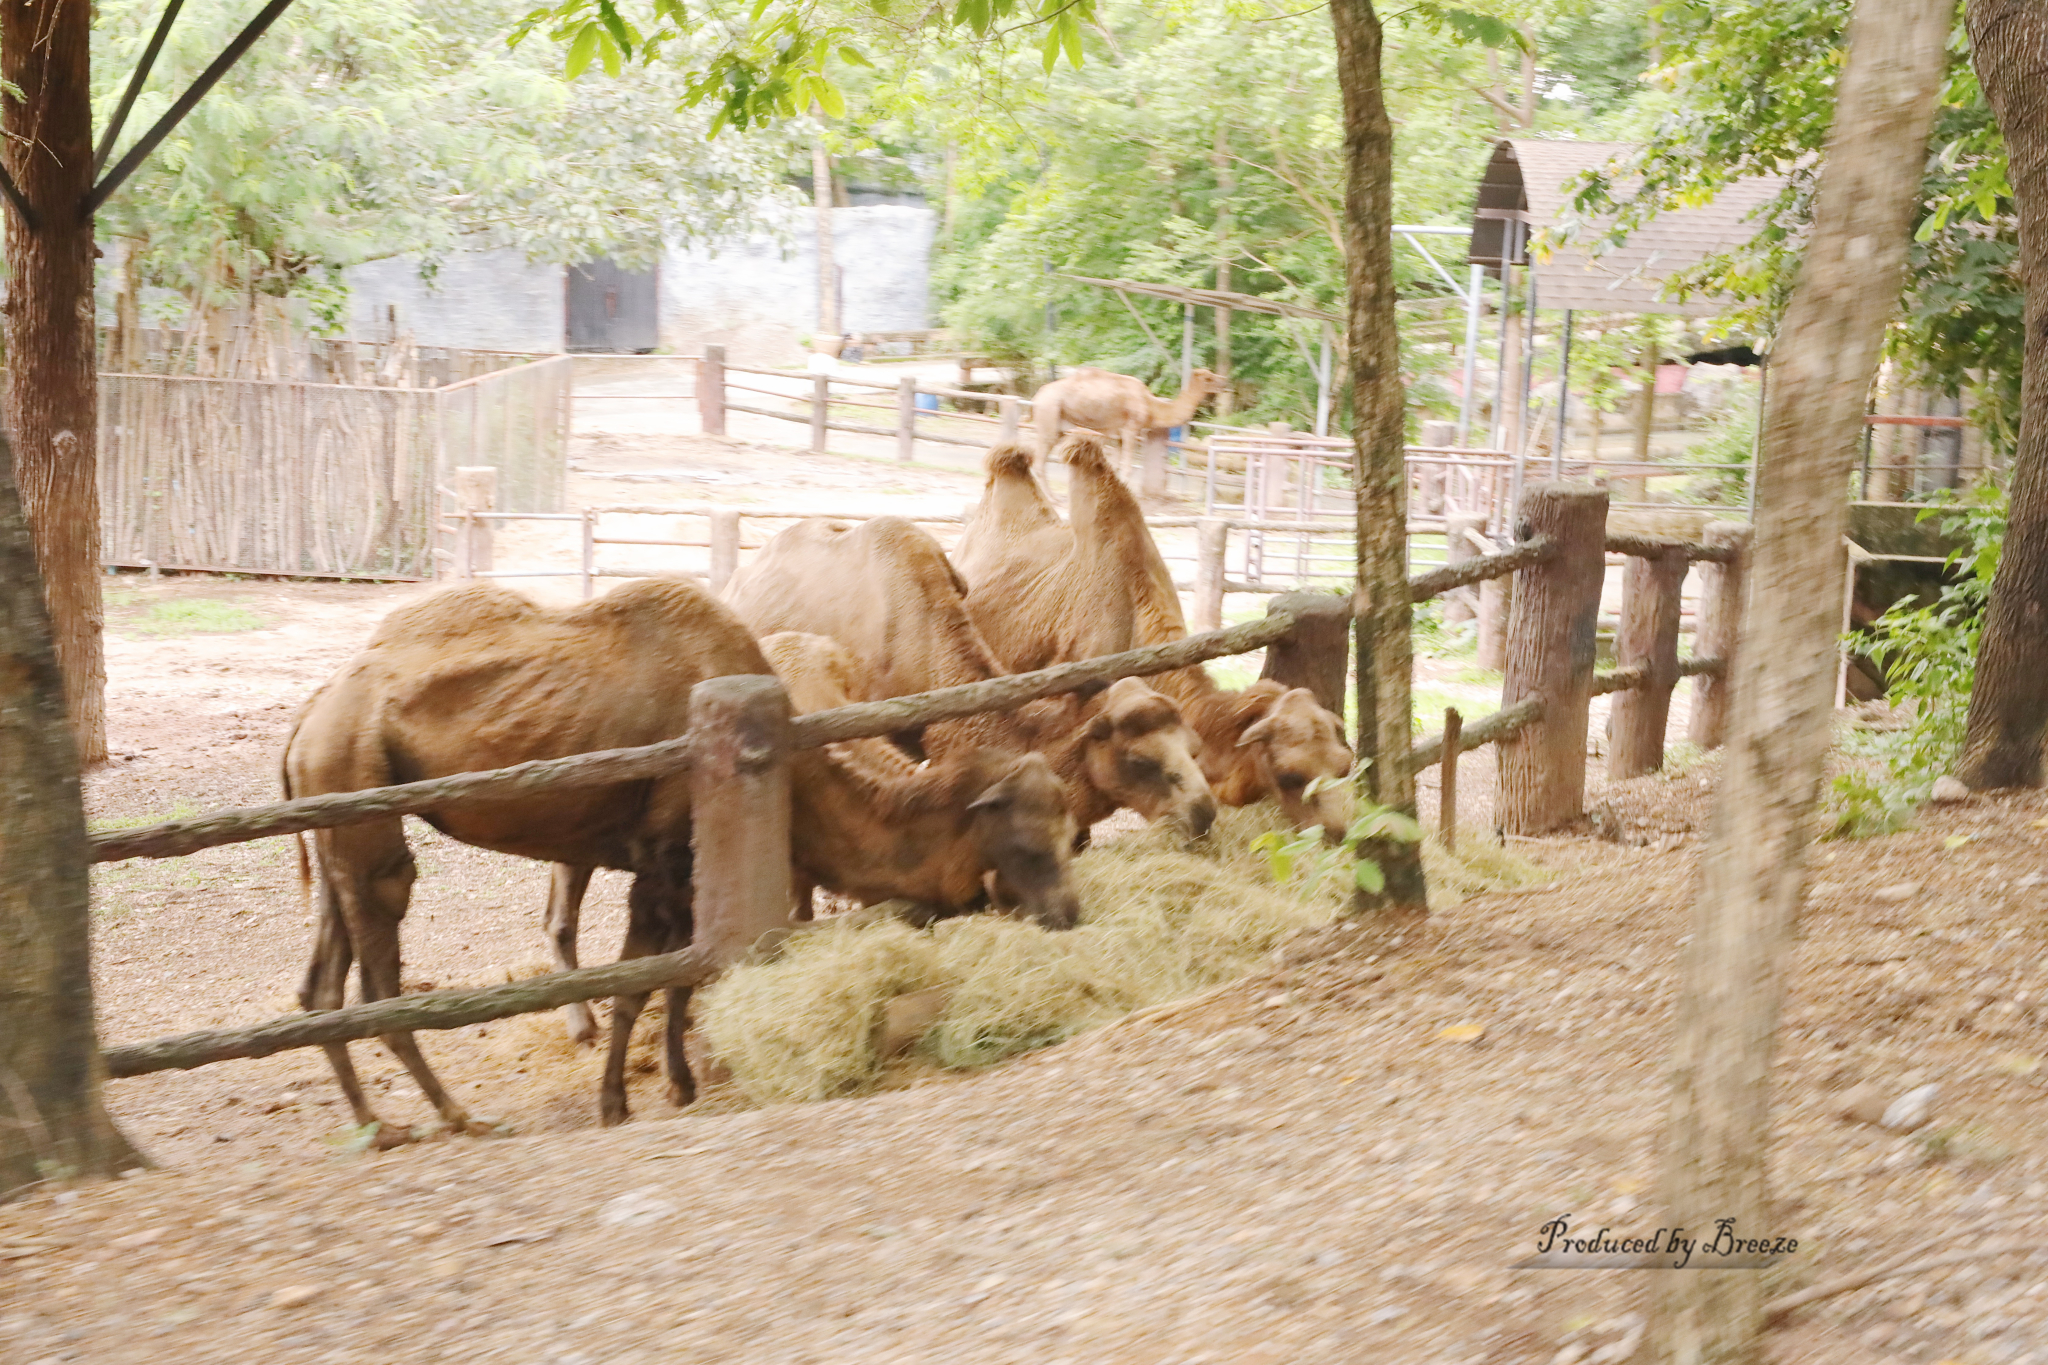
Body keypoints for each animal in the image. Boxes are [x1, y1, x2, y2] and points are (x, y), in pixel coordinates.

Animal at [290, 573, 1089, 1129]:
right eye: (1028, 842)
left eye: (1071, 830)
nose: (1071, 911)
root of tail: (306, 719)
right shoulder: (663, 861)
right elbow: (638, 984)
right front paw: (616, 1104)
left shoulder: (684, 876)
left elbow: (677, 981)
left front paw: (679, 1082)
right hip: (359, 798)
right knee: (378, 967)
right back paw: (456, 1114)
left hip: (334, 825)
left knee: (321, 985)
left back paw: (377, 1123)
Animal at [1032, 368, 1220, 480]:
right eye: (1208, 378)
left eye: (1211, 374)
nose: (1223, 381)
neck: (1151, 406)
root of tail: (1038, 395)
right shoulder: (1131, 430)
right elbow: (1127, 469)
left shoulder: (1119, 436)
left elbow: (1117, 468)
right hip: (1049, 414)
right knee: (1039, 463)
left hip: (1057, 426)